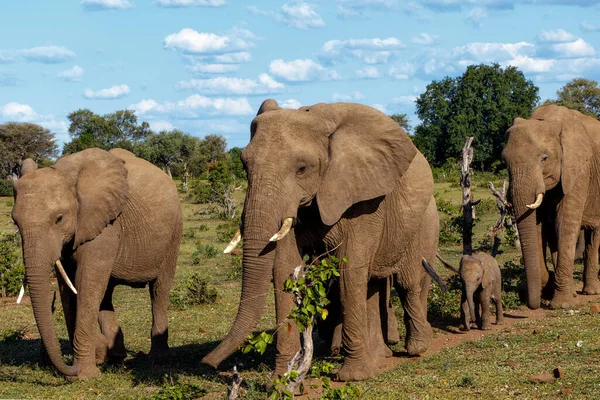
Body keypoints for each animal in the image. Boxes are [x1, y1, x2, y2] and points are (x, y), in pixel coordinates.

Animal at [11, 148, 180, 380]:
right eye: (15, 222)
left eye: (59, 219)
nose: (70, 368)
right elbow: (69, 289)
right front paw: (89, 364)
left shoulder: (105, 225)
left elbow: (86, 284)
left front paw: (84, 375)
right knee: (106, 294)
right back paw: (117, 357)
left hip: (174, 233)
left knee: (159, 290)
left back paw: (157, 359)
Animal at [203, 99, 440, 382]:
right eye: (244, 166)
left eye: (302, 169)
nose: (207, 364)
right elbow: (284, 269)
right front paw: (282, 379)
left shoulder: (363, 200)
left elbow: (349, 272)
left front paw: (351, 377)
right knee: (372, 284)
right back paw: (380, 357)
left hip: (423, 222)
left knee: (408, 282)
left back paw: (417, 348)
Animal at [502, 105, 600, 310]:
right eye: (504, 161)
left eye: (544, 159)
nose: (531, 303)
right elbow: (539, 226)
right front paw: (548, 289)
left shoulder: (578, 168)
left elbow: (565, 225)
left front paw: (561, 304)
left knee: (594, 234)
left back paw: (591, 292)